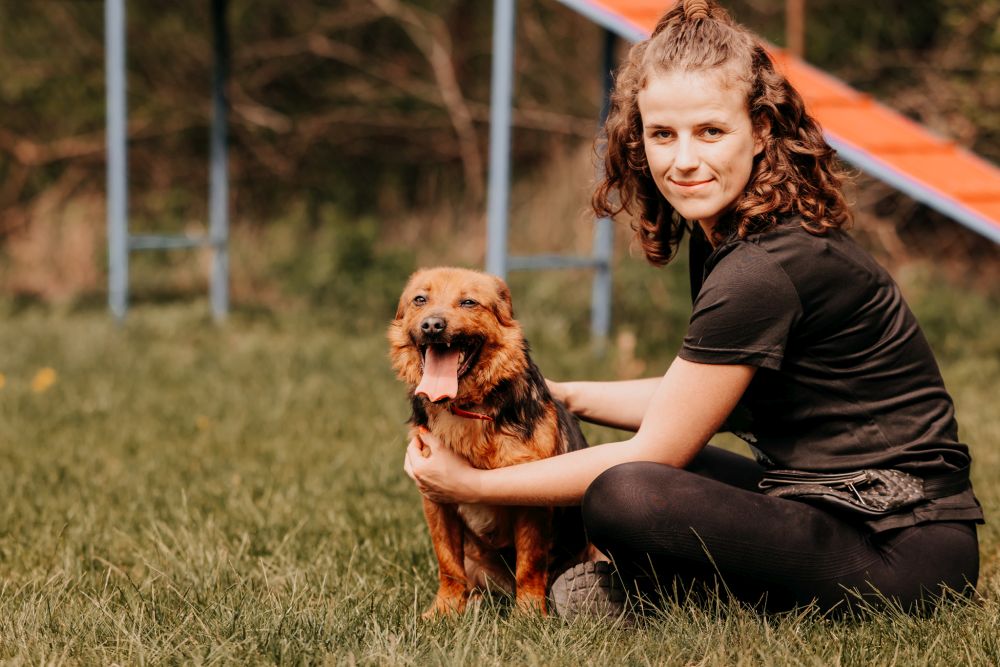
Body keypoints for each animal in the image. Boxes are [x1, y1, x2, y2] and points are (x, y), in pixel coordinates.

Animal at [389, 267, 588, 616]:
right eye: (420, 299)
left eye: (469, 302)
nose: (432, 325)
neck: (464, 408)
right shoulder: (436, 501)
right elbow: (448, 564)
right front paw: (444, 611)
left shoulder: (531, 504)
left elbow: (530, 565)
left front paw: (530, 615)